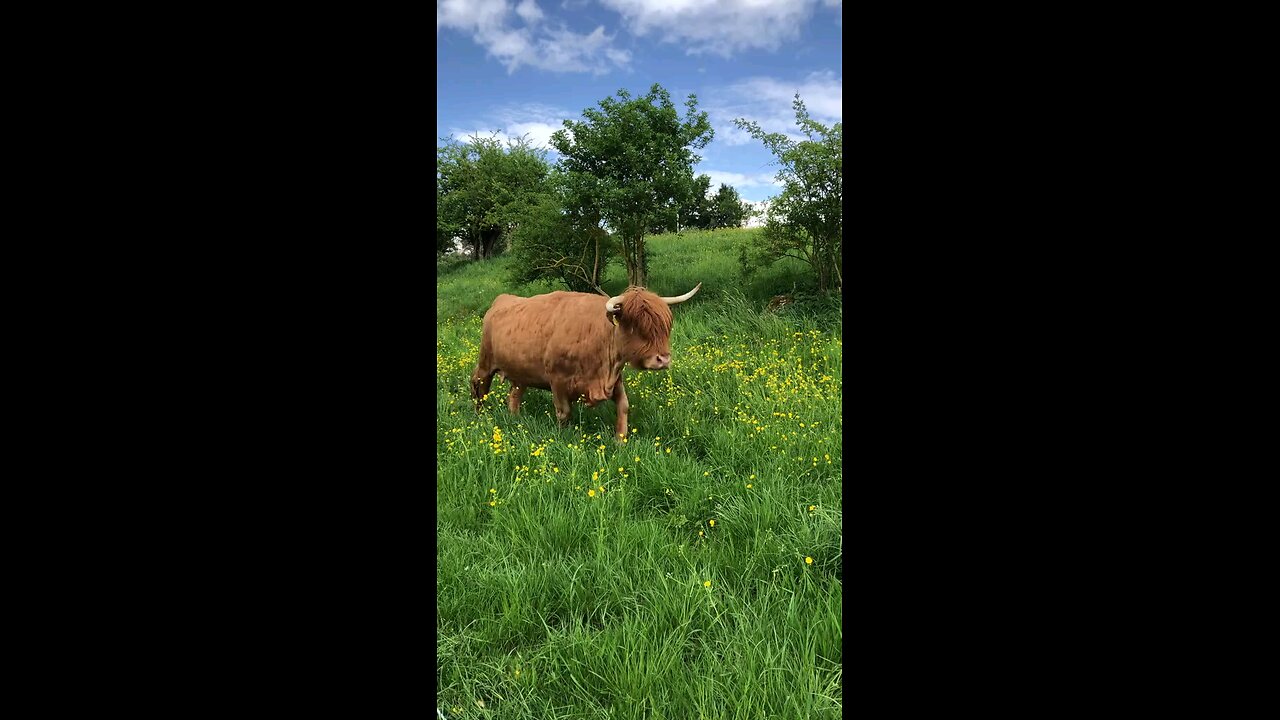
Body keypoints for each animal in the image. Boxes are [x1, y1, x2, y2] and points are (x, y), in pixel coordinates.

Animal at [471, 283, 702, 439]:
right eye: (635, 324)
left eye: (665, 326)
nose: (663, 359)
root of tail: (501, 300)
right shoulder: (557, 380)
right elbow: (563, 412)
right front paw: (563, 437)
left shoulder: (614, 378)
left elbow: (624, 406)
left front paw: (620, 440)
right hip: (485, 362)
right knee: (478, 384)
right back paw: (479, 414)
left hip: (520, 374)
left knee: (514, 395)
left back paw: (515, 418)